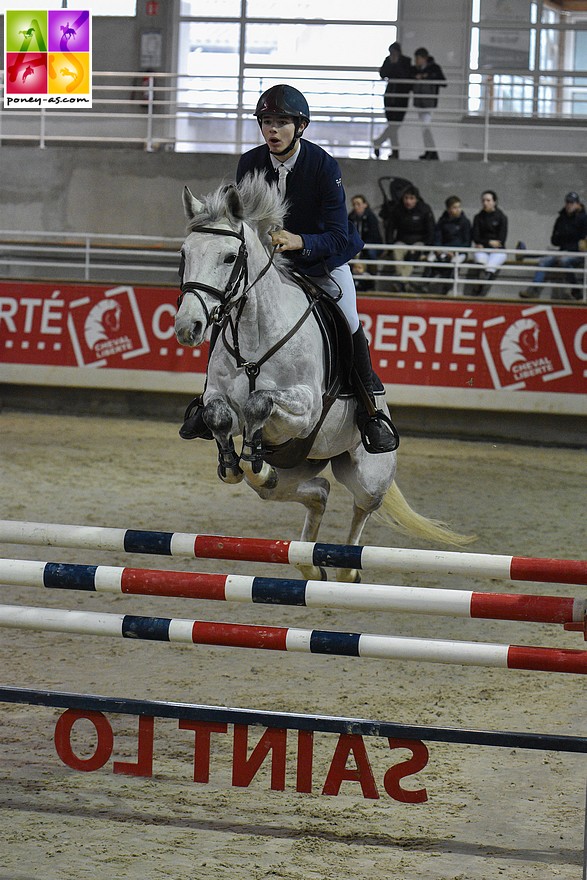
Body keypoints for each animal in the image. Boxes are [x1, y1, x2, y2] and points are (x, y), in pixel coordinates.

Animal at [175, 174, 474, 580]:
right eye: (184, 254)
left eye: (230, 257)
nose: (187, 327)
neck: (254, 332)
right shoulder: (222, 404)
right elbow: (218, 415)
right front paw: (235, 463)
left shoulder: (307, 408)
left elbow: (260, 402)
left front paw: (251, 456)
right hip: (295, 471)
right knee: (314, 491)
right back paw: (307, 558)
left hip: (368, 475)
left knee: (361, 509)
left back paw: (345, 569)